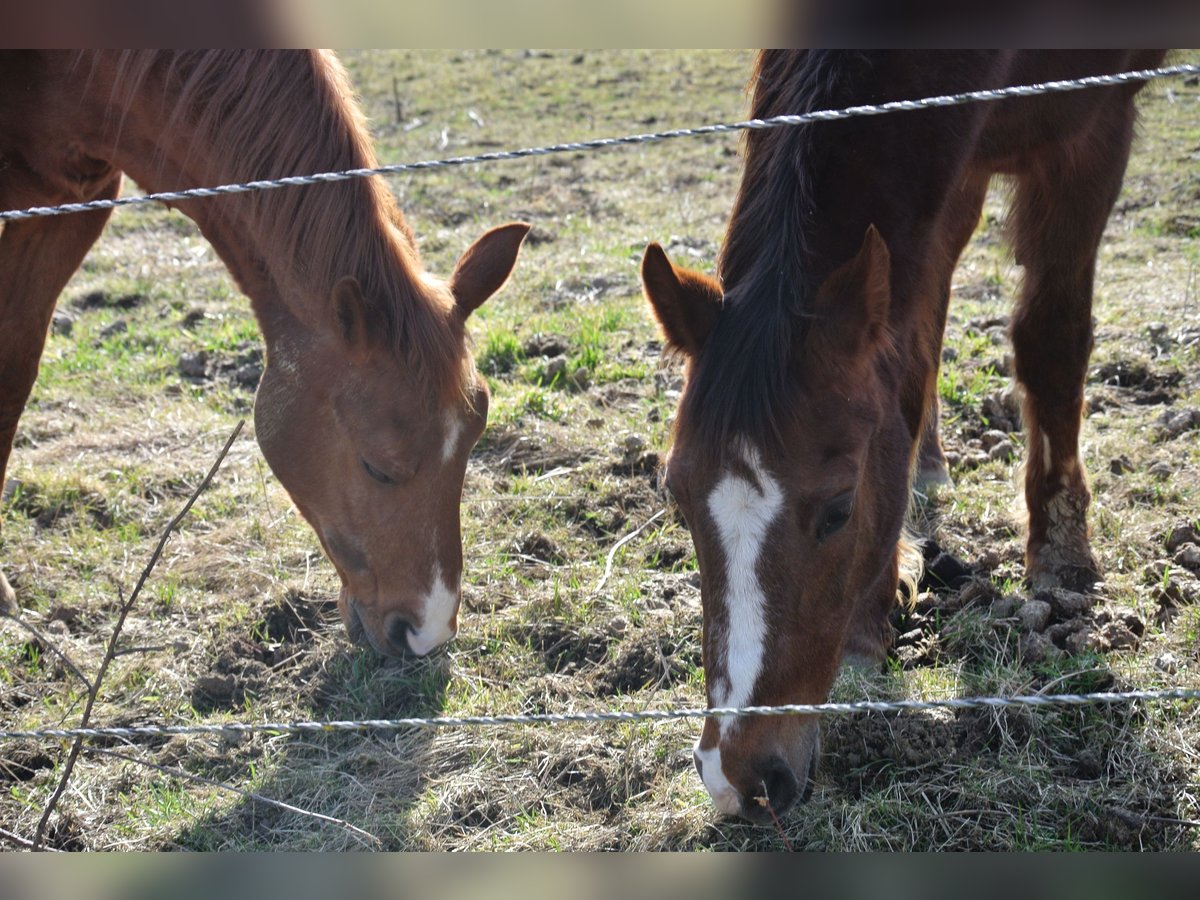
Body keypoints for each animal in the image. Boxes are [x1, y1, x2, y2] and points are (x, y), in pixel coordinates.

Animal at [643, 49, 1166, 825]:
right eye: (678, 498)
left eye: (838, 509)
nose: (738, 779)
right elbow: (910, 355)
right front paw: (873, 620)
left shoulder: (1093, 130)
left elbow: (1049, 338)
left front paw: (1062, 553)